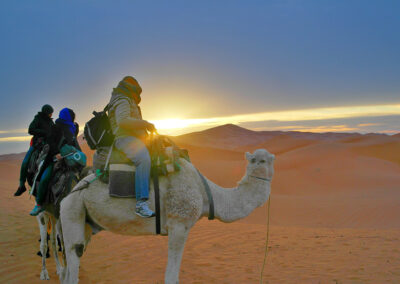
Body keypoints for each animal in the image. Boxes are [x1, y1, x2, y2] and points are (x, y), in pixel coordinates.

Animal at [59, 150, 276, 282]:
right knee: (74, 252)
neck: (206, 193)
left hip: (85, 221)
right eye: (257, 160)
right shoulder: (179, 224)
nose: (261, 165)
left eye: (266, 160)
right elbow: (172, 277)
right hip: (72, 208)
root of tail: (73, 190)